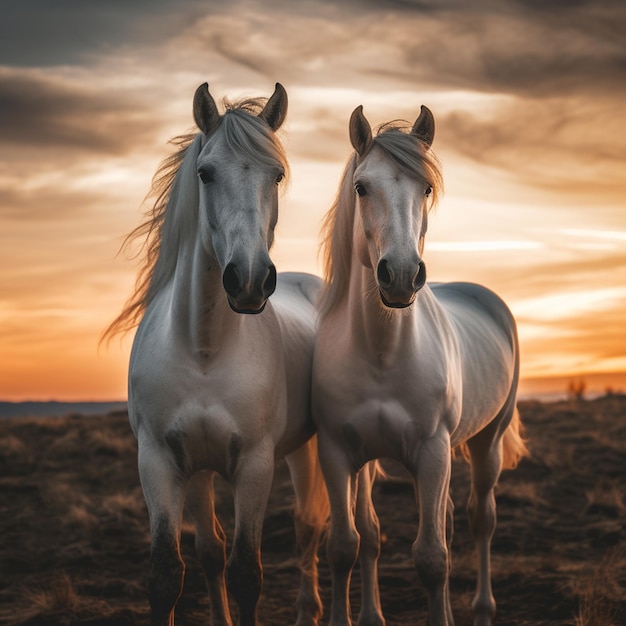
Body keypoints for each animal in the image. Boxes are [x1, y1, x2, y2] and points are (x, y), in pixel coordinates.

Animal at [103, 83, 326, 624]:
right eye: (206, 173)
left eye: (277, 174)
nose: (249, 279)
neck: (203, 349)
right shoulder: (161, 461)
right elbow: (174, 570)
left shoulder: (255, 466)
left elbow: (247, 571)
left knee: (315, 527)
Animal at [312, 105, 528, 620]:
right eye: (361, 187)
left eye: (426, 188)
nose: (402, 275)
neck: (381, 353)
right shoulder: (338, 452)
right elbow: (347, 545)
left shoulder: (431, 452)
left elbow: (431, 558)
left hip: (485, 442)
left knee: (479, 520)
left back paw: (482, 609)